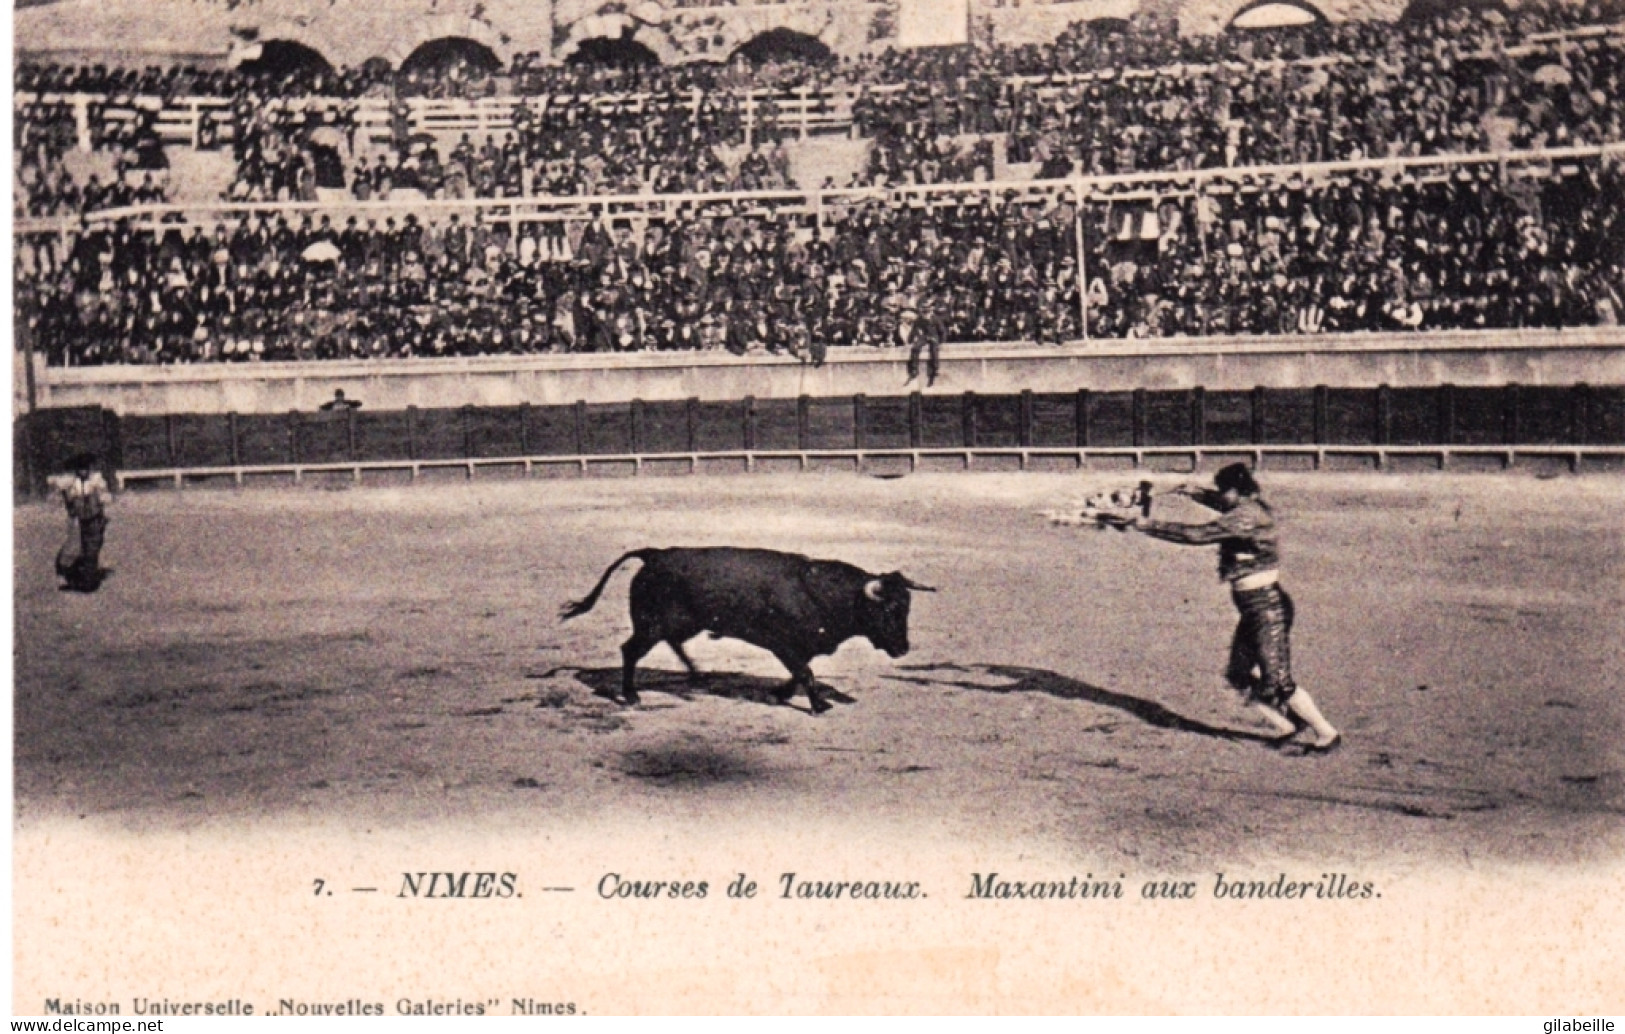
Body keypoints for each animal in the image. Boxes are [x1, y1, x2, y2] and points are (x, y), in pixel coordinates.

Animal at [562, 549, 936, 712]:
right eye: (889, 609)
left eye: (907, 607)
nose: (903, 649)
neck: (822, 591)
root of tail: (654, 556)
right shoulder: (784, 644)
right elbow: (806, 672)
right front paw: (819, 705)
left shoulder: (800, 647)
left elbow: (800, 673)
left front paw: (780, 694)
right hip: (650, 624)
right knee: (631, 651)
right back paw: (631, 696)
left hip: (683, 623)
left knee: (673, 643)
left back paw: (696, 676)